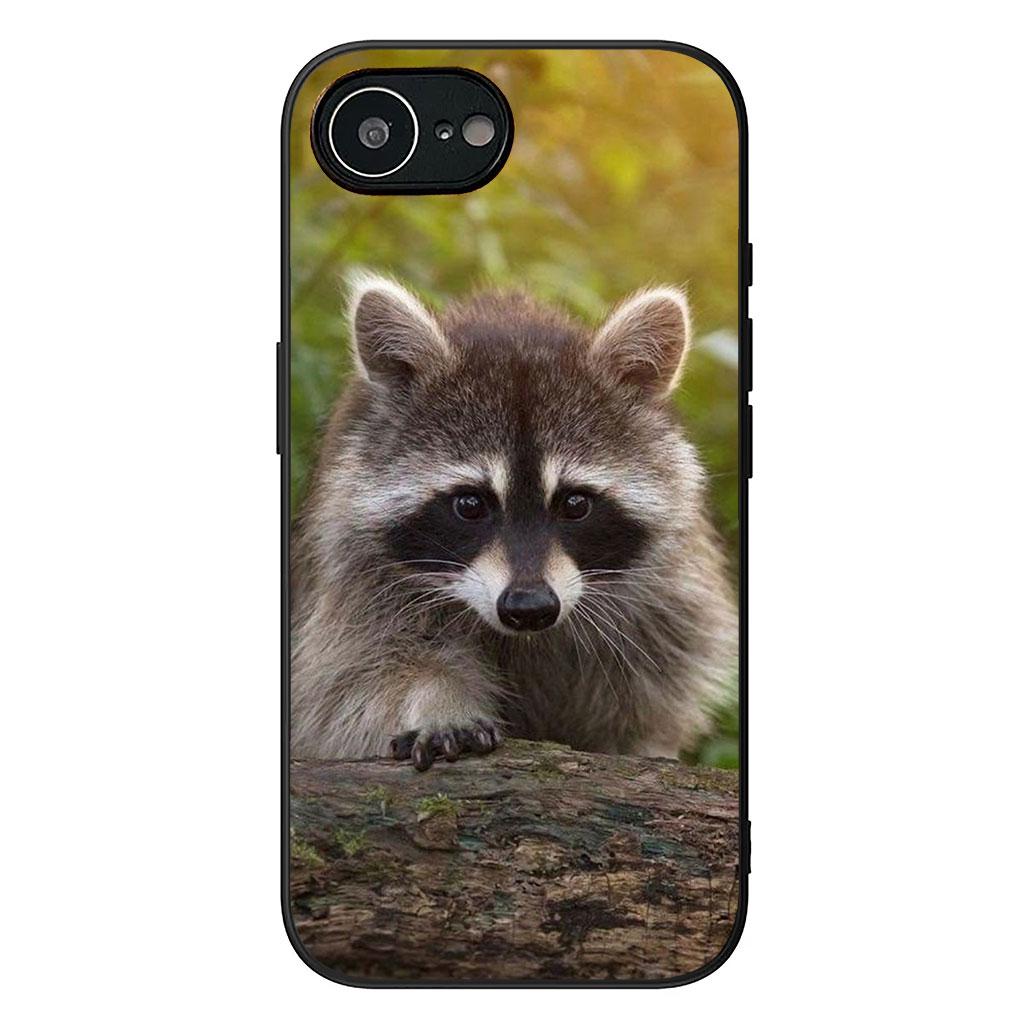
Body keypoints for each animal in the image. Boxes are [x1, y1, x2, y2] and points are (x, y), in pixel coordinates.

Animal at [290, 272, 737, 770]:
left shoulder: (663, 595)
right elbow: (358, 673)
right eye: (470, 505)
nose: (528, 608)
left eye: (575, 504)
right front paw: (438, 701)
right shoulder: (356, 567)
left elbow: (648, 694)